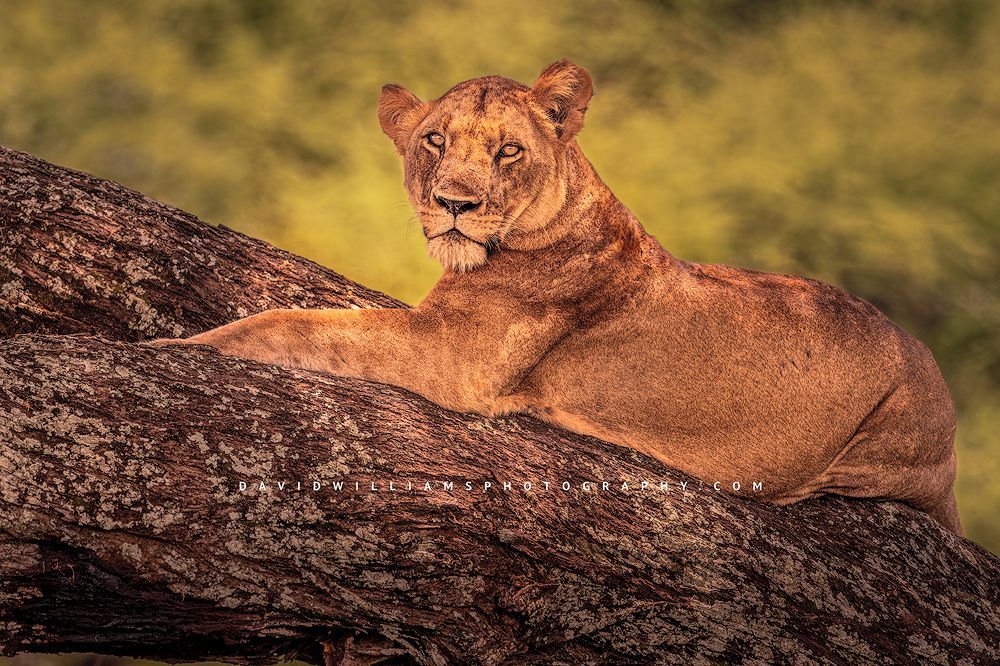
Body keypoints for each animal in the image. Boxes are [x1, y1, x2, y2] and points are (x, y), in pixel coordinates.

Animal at [152, 60, 962, 535]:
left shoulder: (450, 358)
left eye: (508, 150)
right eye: (434, 141)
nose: (455, 204)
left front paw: (169, 349)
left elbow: (294, 323)